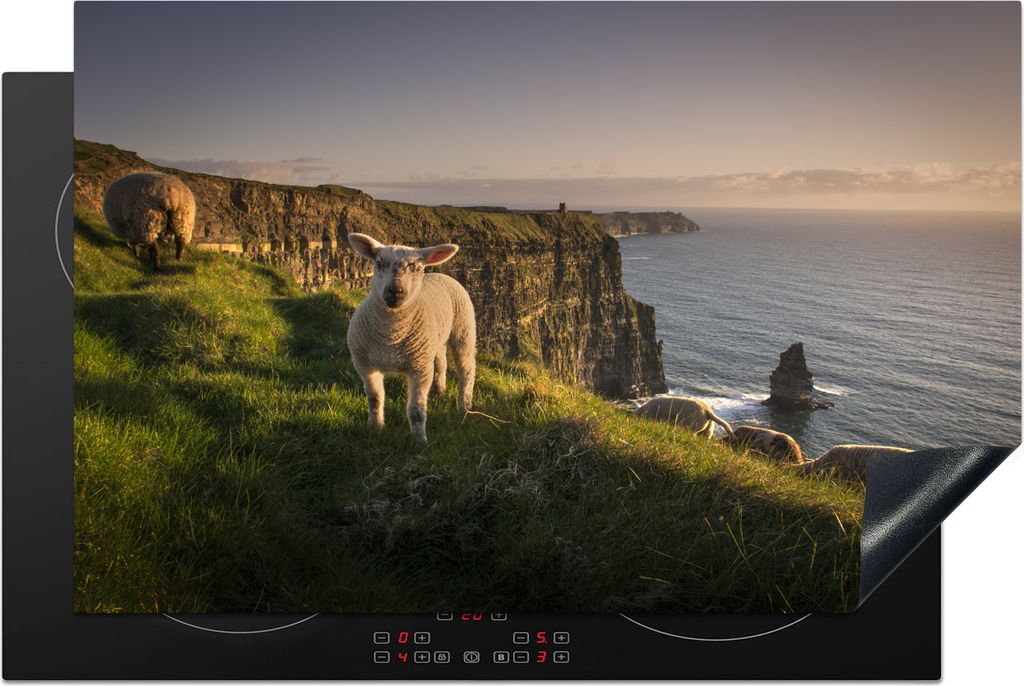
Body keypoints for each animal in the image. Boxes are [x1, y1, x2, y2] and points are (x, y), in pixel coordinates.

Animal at [345, 232, 476, 443]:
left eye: (417, 268)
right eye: (379, 263)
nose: (395, 292)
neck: (390, 337)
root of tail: (439, 273)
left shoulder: (419, 369)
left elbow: (416, 410)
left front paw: (420, 441)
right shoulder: (364, 365)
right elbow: (375, 398)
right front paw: (375, 427)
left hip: (464, 329)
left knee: (467, 369)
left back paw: (465, 406)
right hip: (433, 341)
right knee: (441, 361)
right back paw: (439, 389)